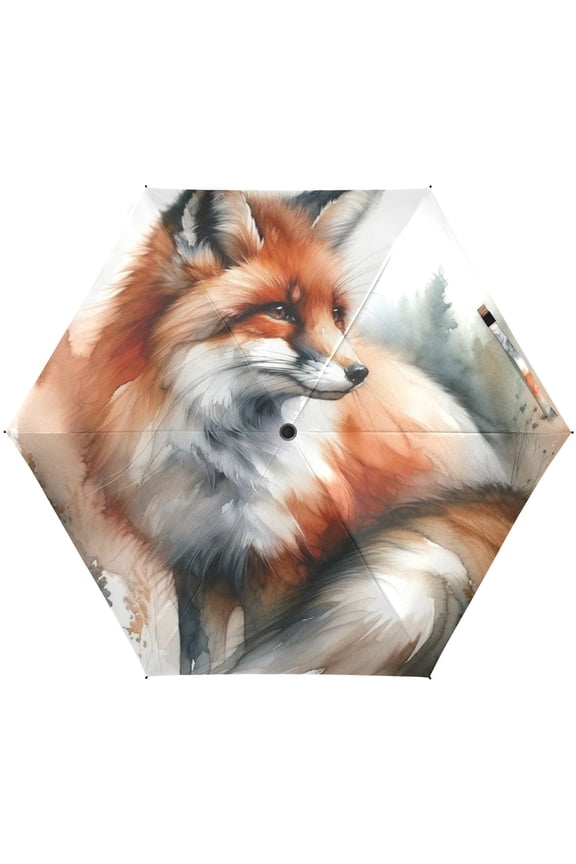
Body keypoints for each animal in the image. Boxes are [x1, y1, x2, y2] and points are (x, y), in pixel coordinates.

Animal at [18, 190, 525, 674]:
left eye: (335, 314)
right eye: (281, 310)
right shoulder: (195, 564)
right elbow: (199, 660)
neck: (217, 457)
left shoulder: (284, 564)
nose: (359, 373)